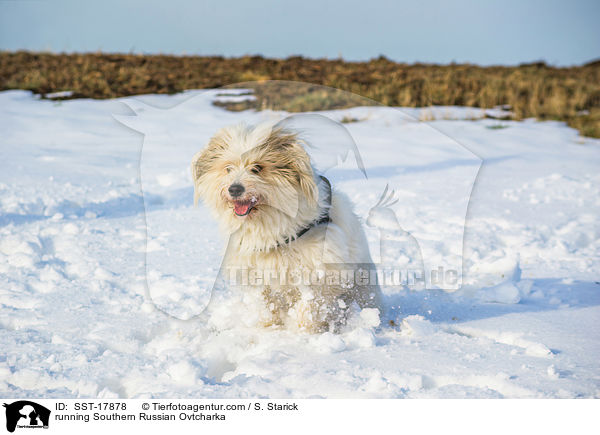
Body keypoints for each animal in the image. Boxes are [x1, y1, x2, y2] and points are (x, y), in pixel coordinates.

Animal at [191, 123, 380, 334]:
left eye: (257, 168)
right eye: (228, 168)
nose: (234, 189)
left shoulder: (320, 270)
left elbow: (309, 306)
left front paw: (300, 333)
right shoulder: (255, 272)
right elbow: (264, 303)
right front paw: (267, 327)